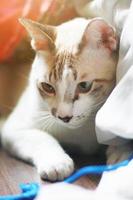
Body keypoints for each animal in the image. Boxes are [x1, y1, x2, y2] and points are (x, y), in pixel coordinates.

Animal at [0, 17, 118, 181]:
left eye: (85, 85)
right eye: (47, 87)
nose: (64, 117)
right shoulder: (13, 127)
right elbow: (42, 137)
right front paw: (56, 162)